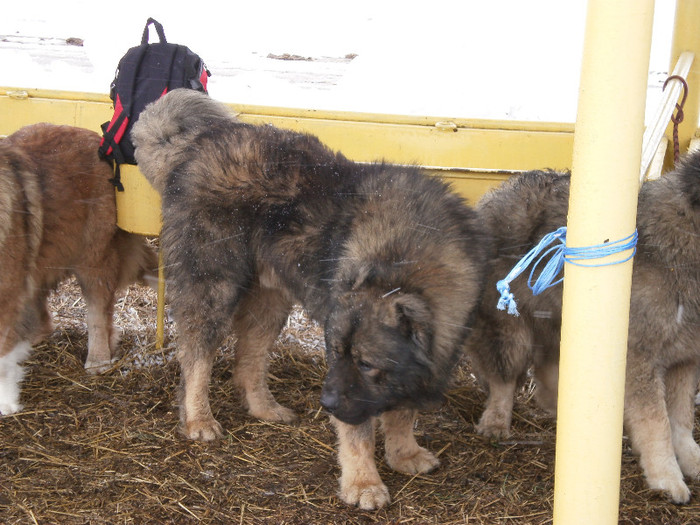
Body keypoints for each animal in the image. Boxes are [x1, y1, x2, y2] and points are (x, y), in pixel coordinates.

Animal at [133, 89, 492, 508]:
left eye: (367, 363)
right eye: (336, 353)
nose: (328, 405)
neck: (405, 260)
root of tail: (195, 147)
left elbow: (402, 411)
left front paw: (404, 453)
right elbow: (358, 432)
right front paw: (363, 484)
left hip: (270, 300)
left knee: (248, 360)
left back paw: (264, 408)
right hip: (212, 286)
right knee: (196, 357)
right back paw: (198, 419)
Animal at [468, 161, 700, 504]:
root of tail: (498, 192)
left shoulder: (684, 360)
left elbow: (681, 421)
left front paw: (690, 459)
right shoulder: (641, 358)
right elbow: (657, 423)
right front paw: (666, 477)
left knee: (545, 372)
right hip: (510, 332)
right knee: (504, 380)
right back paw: (496, 421)